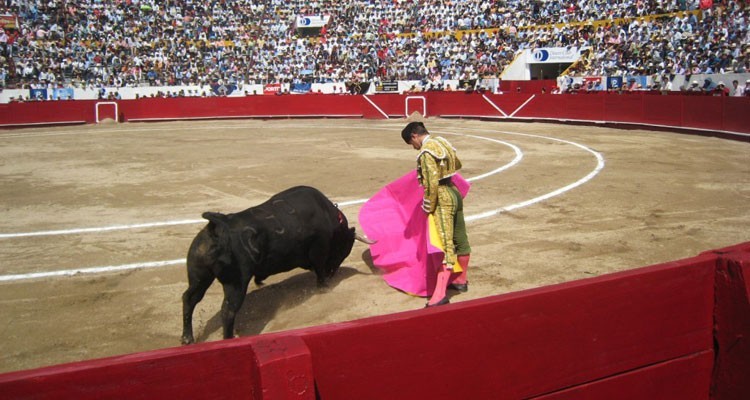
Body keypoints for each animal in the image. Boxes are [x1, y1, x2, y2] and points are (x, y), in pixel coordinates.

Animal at [180, 184, 374, 344]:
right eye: (345, 246)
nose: (333, 273)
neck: (327, 214)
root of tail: (217, 227)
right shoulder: (319, 251)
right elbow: (319, 272)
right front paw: (324, 288)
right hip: (236, 283)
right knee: (228, 311)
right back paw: (228, 340)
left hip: (200, 277)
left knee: (190, 298)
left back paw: (187, 338)